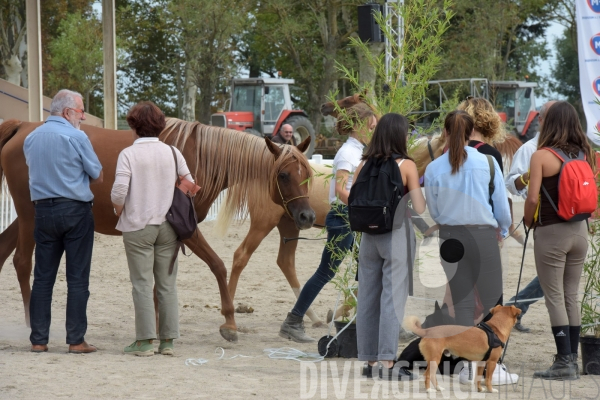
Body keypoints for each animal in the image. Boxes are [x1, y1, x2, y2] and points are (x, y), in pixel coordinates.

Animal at [0, 117, 316, 342]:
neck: (198, 157)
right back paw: (31, 325)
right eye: (284, 174)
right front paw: (229, 322)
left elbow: (160, 280)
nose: (307, 215)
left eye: (308, 174)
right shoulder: (187, 228)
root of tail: (22, 127)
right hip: (30, 217)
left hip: (32, 217)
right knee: (22, 262)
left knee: (5, 251)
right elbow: (218, 265)